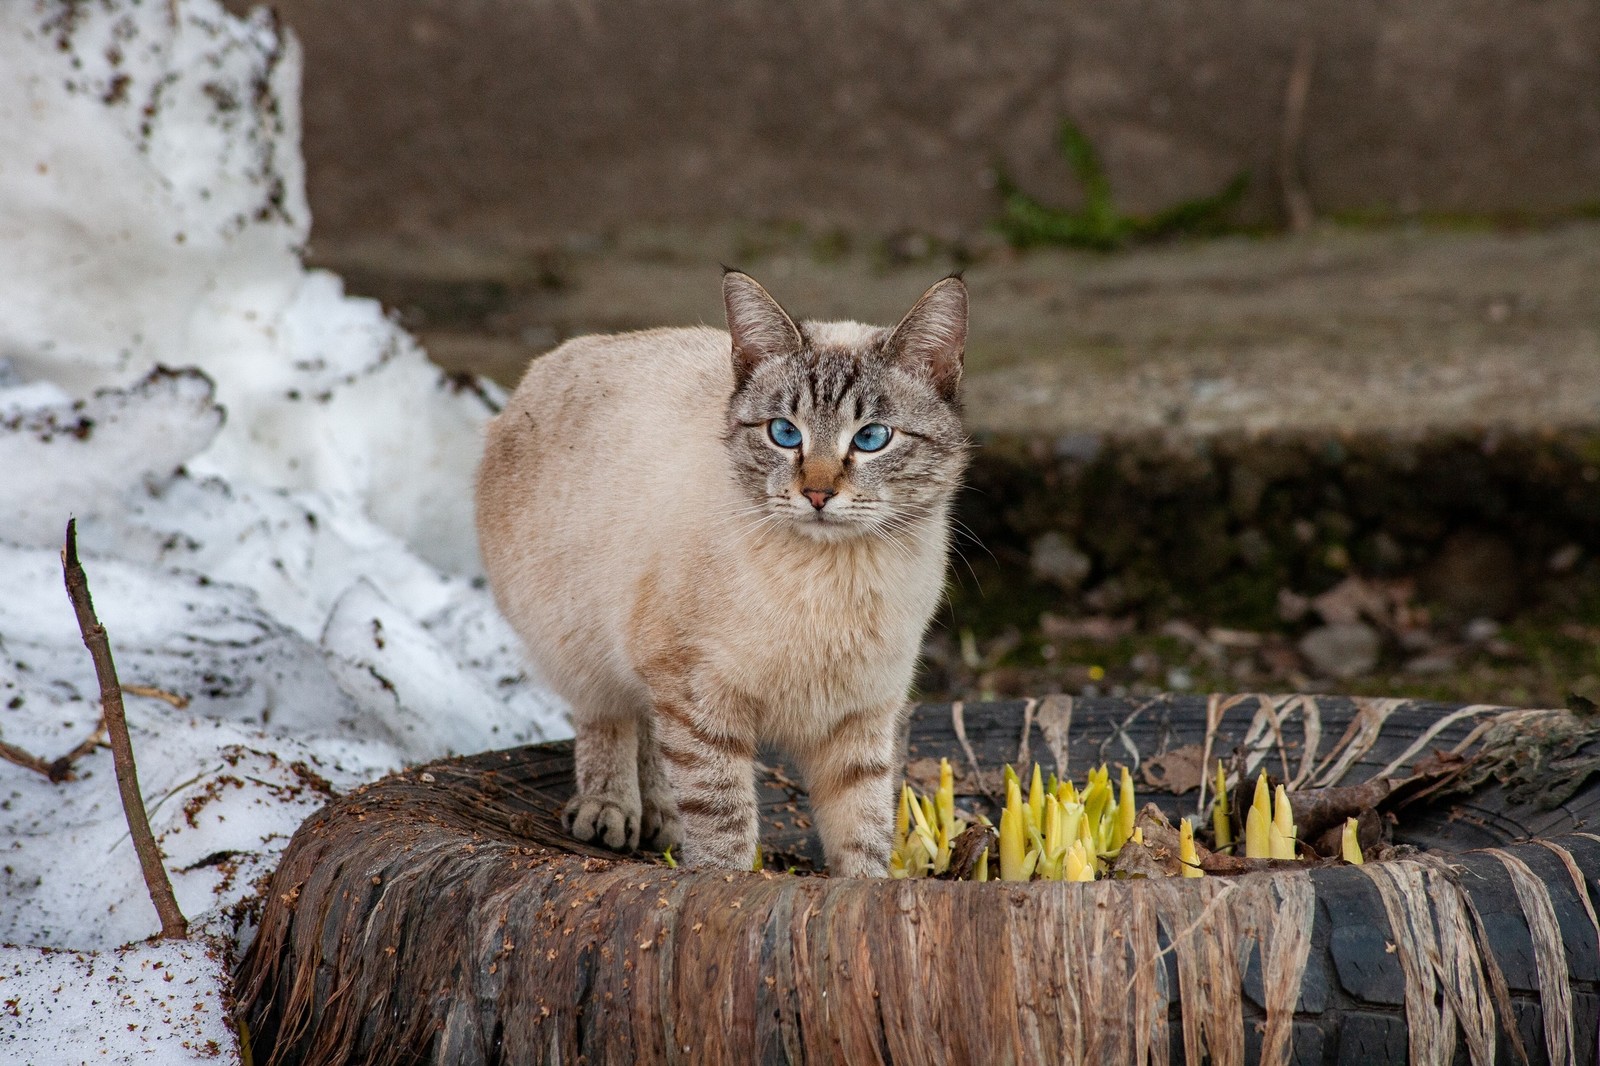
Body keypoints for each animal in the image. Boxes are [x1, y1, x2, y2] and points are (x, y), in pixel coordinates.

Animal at [473, 270, 966, 877]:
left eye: (872, 438)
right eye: (784, 433)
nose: (817, 494)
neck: (830, 582)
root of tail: (537, 372)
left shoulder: (859, 719)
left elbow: (864, 836)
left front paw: (865, 886)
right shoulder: (698, 699)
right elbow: (723, 825)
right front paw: (723, 878)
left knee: (648, 731)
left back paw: (661, 816)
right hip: (584, 641)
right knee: (610, 717)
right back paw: (610, 810)